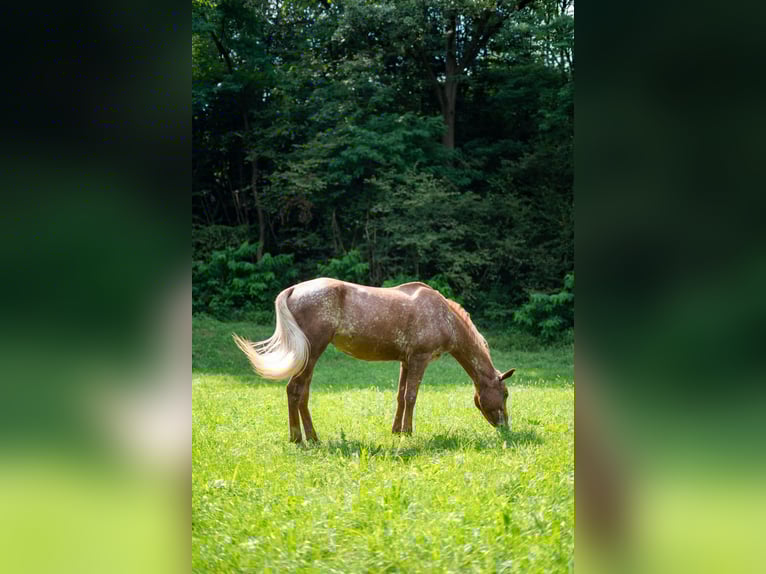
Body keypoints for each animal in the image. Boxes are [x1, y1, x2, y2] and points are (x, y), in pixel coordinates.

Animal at [233, 278, 515, 443]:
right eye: (505, 393)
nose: (505, 427)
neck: (444, 317)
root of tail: (293, 290)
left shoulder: (406, 361)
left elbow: (400, 396)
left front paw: (396, 430)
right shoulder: (419, 359)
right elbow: (412, 396)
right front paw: (409, 433)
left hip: (309, 358)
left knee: (302, 393)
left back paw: (311, 437)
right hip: (312, 353)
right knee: (295, 390)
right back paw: (298, 438)